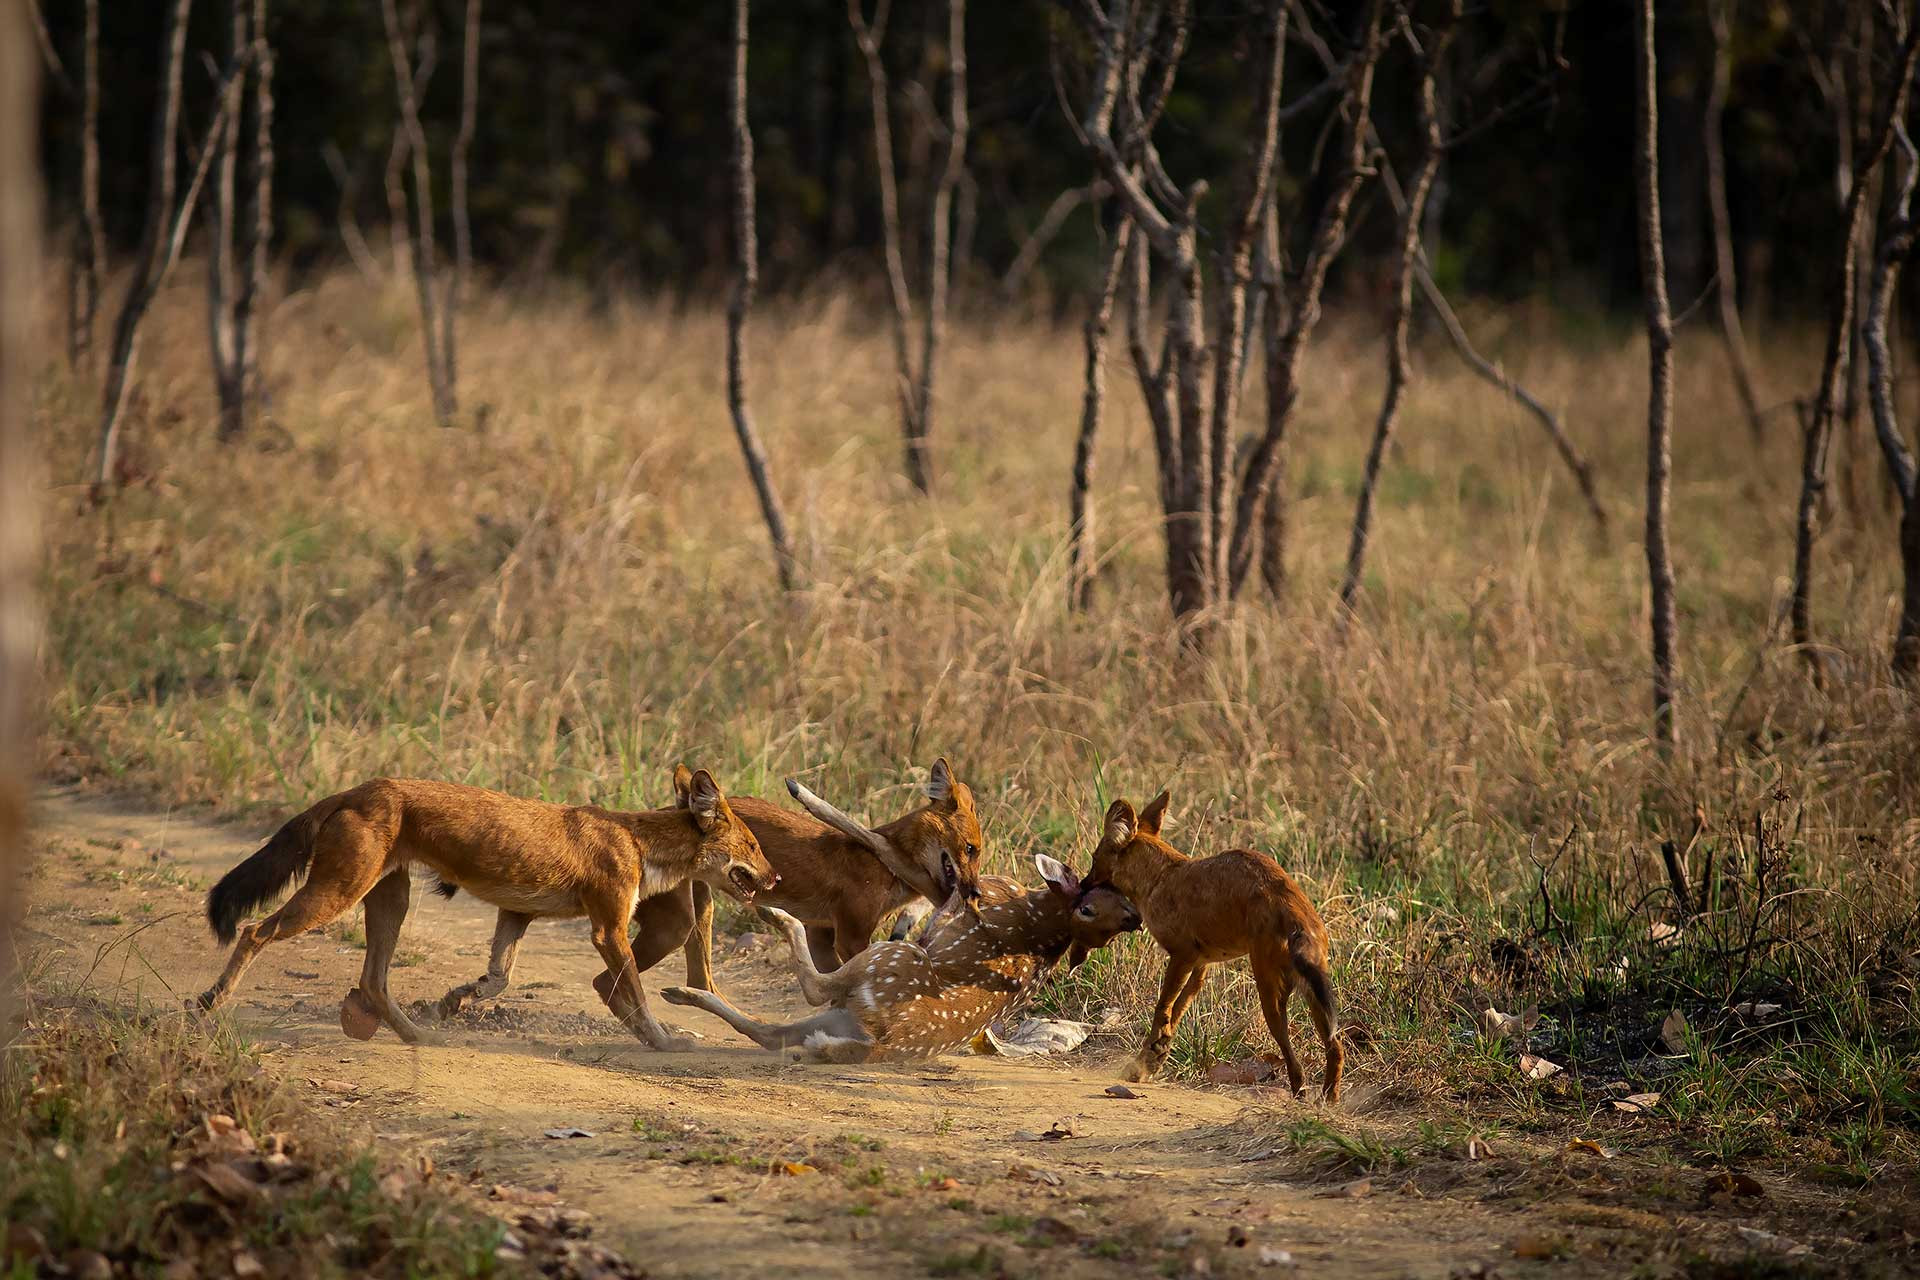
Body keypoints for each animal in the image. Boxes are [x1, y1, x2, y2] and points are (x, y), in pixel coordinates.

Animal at [198, 770, 777, 1051]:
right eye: (752, 846)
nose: (775, 878)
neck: (637, 841)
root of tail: (356, 788)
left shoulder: (516, 914)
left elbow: (498, 977)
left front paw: (453, 1001)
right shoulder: (607, 929)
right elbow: (632, 992)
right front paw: (663, 1040)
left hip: (391, 900)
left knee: (372, 981)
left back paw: (421, 1036)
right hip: (336, 894)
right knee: (253, 931)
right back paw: (209, 1002)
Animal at [432, 759, 986, 1020]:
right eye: (972, 849)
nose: (976, 892)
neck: (885, 862)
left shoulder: (824, 934)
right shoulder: (847, 933)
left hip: (699, 916)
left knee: (685, 980)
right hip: (680, 920)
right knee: (610, 980)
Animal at [660, 855, 1141, 1063]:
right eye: (1108, 903)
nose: (1135, 917)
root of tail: (884, 1042)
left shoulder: (976, 893)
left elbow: (942, 899)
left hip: (885, 962)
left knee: (814, 989)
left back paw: (771, 915)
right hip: (842, 1013)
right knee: (768, 1032)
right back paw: (679, 994)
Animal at [1084, 791, 1343, 1101]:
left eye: (1094, 858)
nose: (1082, 883)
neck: (1159, 878)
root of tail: (1297, 915)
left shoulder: (1182, 955)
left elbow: (1163, 1006)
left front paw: (1150, 1055)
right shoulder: (1201, 964)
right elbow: (1177, 1009)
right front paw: (1154, 1054)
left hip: (1269, 991)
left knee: (1295, 1062)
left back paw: (1304, 1096)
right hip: (1315, 992)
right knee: (1336, 1046)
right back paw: (1329, 1098)